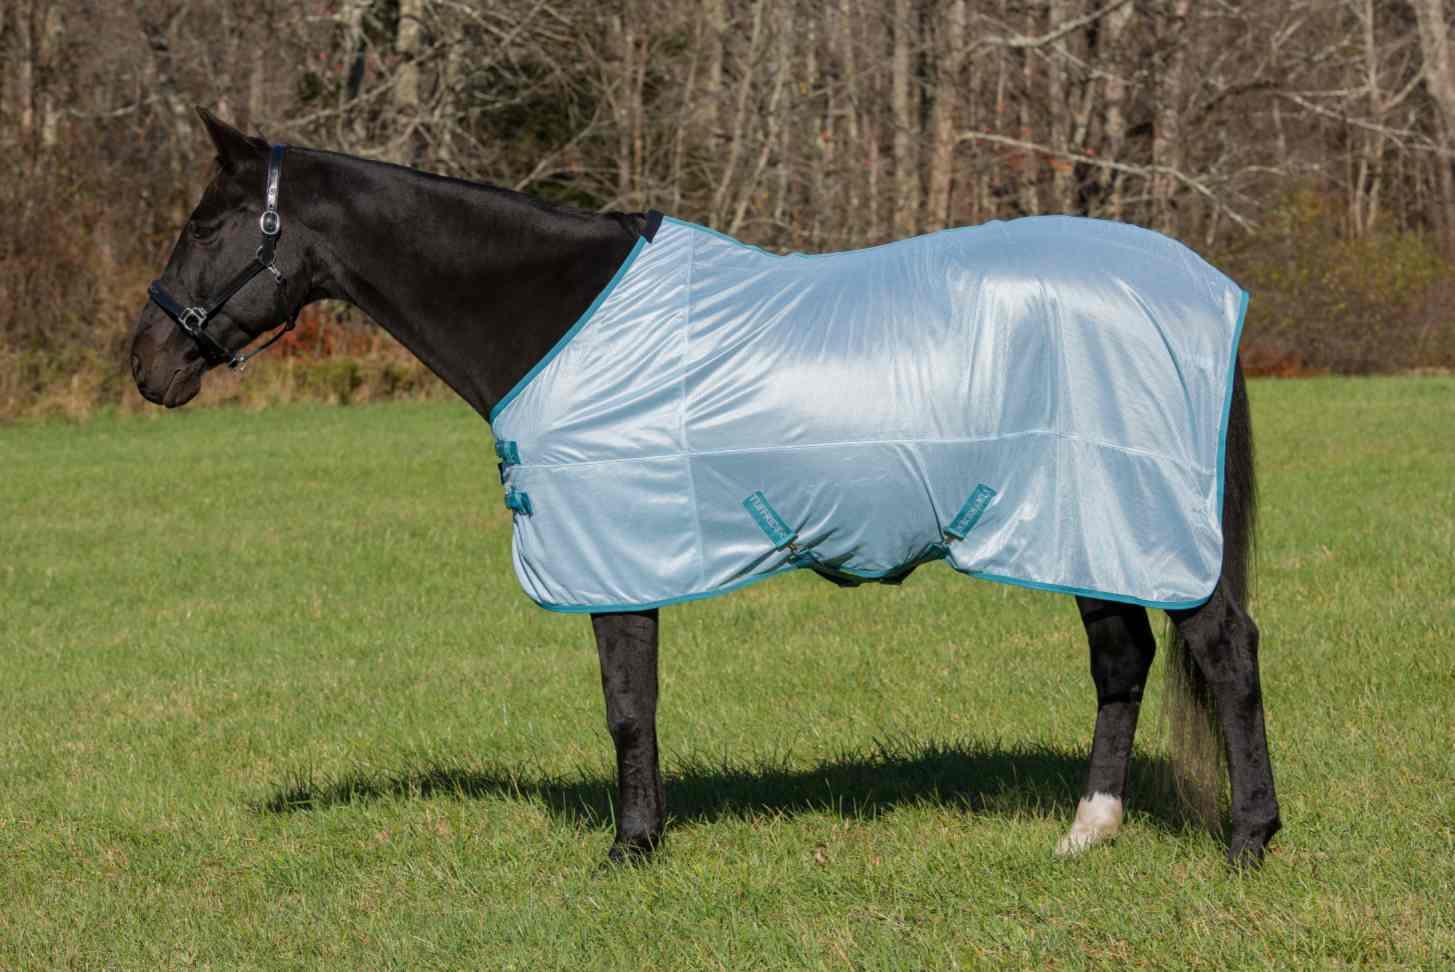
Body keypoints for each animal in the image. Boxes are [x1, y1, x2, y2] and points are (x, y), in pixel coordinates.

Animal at [129, 109, 1280, 867]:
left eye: (203, 227)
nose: (147, 363)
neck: (556, 316)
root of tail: (1206, 290)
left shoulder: (616, 551)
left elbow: (626, 707)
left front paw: (632, 848)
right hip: (1084, 522)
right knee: (1123, 660)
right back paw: (1089, 830)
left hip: (1138, 521)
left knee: (1222, 652)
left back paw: (1248, 839)